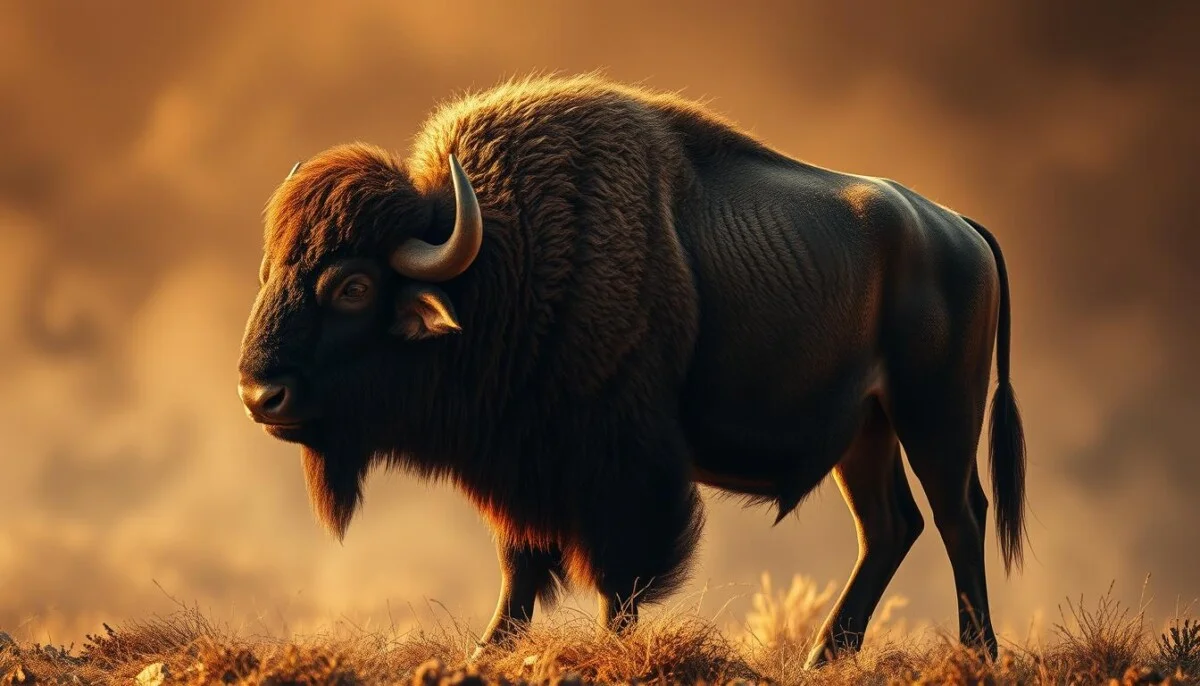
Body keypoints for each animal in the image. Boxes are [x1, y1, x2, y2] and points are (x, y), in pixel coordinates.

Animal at [237, 74, 1026, 668]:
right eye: (271, 271)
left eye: (353, 286)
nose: (259, 393)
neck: (501, 261)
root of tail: (958, 229)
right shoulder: (522, 471)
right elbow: (521, 569)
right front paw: (489, 651)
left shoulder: (622, 468)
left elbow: (621, 575)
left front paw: (609, 650)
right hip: (866, 434)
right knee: (890, 526)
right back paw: (823, 657)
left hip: (935, 417)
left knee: (959, 515)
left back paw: (976, 653)